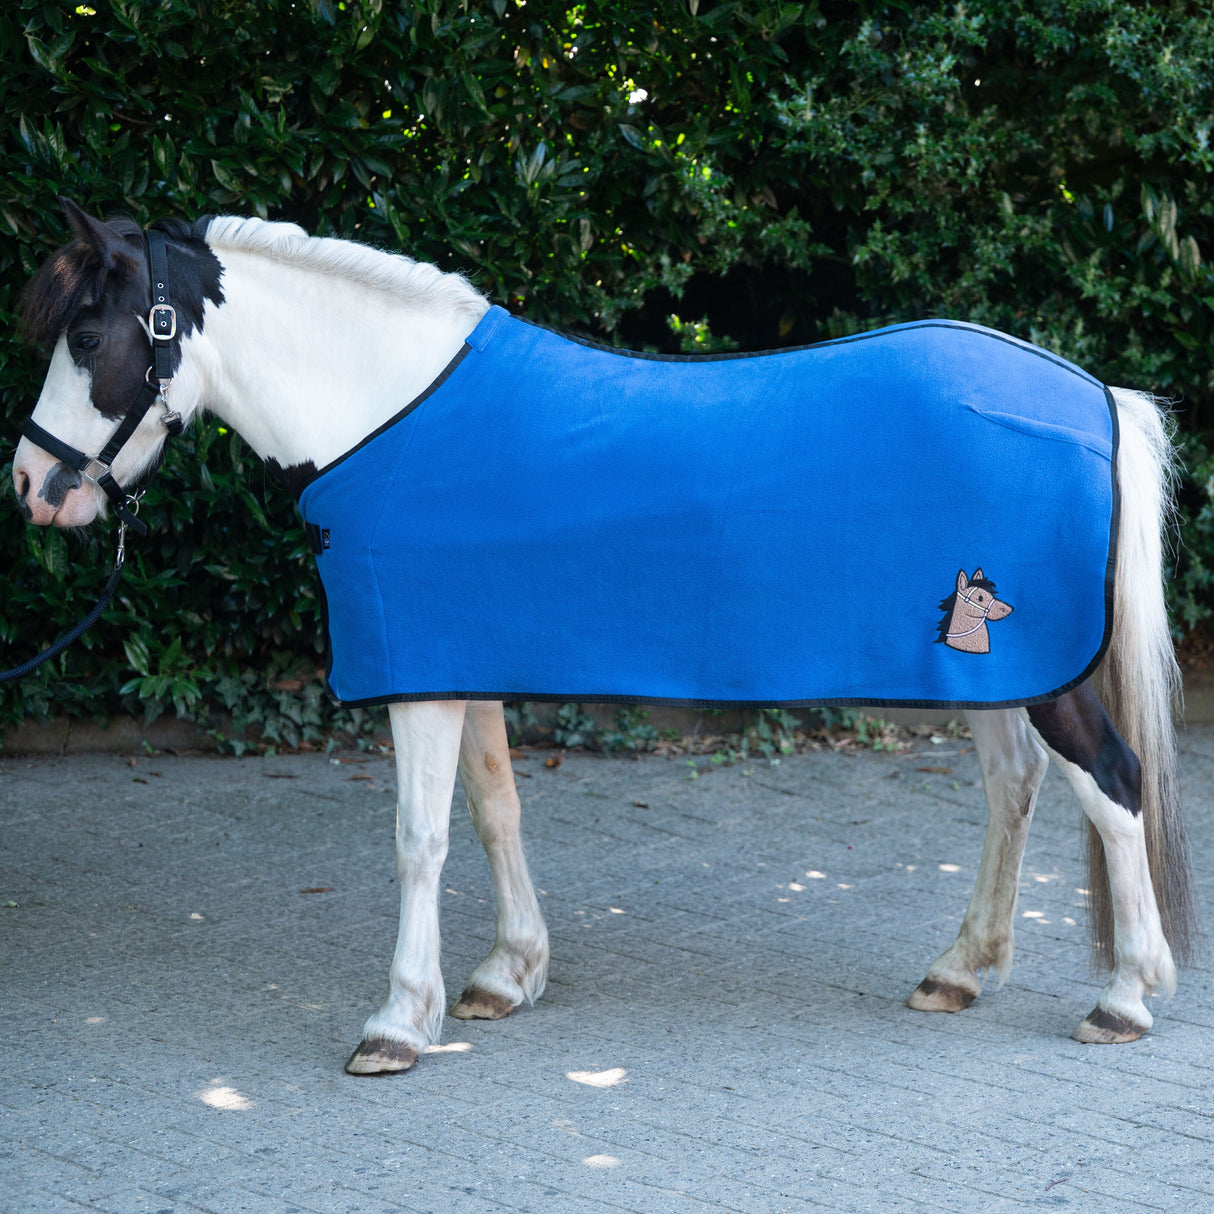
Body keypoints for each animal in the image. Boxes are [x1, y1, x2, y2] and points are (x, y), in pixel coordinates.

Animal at [11, 200, 1198, 1075]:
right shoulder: (461, 656)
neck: (389, 415)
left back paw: (1124, 995)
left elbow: (418, 837)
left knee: (1112, 783)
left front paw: (397, 1021)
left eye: (87, 337)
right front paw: (506, 975)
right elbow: (494, 811)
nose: (32, 487)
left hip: (1037, 669)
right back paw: (960, 968)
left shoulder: (419, 676)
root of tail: (1095, 393)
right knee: (1015, 786)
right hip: (991, 669)